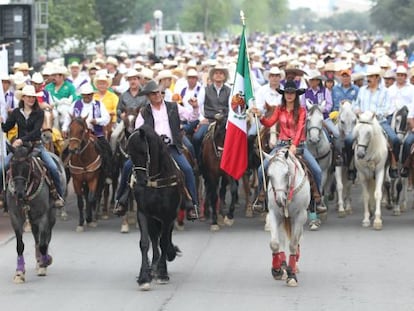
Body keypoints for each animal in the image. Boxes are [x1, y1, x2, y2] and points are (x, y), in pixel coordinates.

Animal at [6, 145, 56, 284]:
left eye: (27, 165)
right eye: (12, 165)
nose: (19, 192)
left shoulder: (43, 215)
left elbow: (44, 243)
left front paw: (45, 263)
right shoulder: (15, 217)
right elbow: (20, 245)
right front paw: (19, 273)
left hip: (51, 214)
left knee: (46, 237)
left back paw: (43, 260)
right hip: (32, 219)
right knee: (36, 237)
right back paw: (39, 259)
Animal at [127, 125, 182, 292]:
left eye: (144, 152)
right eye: (129, 154)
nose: (140, 181)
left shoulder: (168, 216)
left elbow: (164, 242)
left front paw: (163, 273)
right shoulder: (143, 213)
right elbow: (145, 243)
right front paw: (144, 277)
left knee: (164, 239)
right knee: (154, 239)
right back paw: (154, 267)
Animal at [266, 149, 310, 288]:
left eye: (286, 174)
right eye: (269, 175)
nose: (280, 200)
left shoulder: (300, 216)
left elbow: (293, 244)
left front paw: (292, 276)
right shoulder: (274, 214)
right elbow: (275, 243)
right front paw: (277, 270)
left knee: (297, 240)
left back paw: (294, 266)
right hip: (283, 219)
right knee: (281, 239)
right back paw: (283, 266)